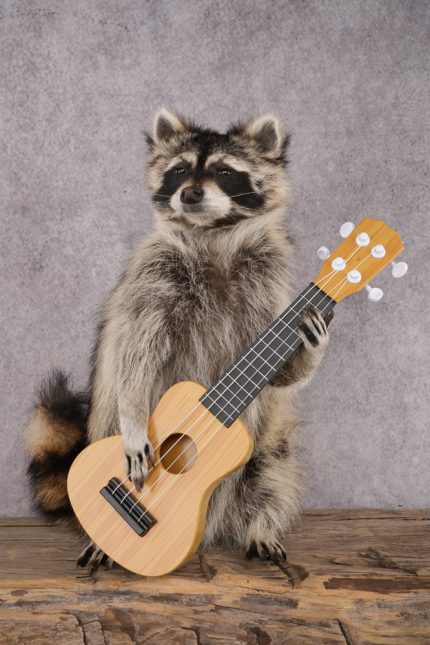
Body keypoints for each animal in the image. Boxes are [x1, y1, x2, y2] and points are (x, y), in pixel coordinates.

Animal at [26, 109, 332, 569]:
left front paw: (311, 350)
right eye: (180, 170)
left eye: (225, 171)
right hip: (103, 429)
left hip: (268, 448)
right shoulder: (154, 276)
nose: (190, 194)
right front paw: (135, 418)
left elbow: (278, 376)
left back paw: (261, 524)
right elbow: (135, 353)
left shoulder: (268, 286)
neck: (214, 234)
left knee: (274, 473)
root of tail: (210, 529)